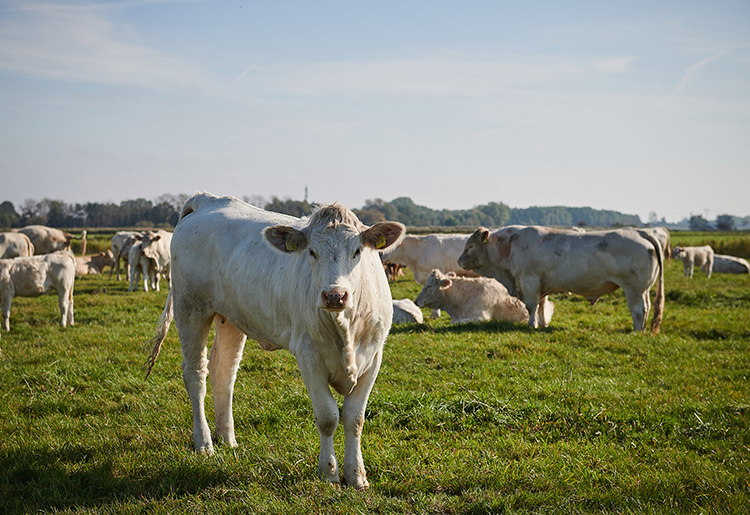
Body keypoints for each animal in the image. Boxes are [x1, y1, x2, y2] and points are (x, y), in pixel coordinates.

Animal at [458, 227, 664, 332]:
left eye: (470, 246)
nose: (459, 261)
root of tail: (638, 231)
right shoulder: (540, 284)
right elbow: (541, 306)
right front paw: (542, 324)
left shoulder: (529, 281)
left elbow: (531, 306)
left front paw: (531, 324)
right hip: (643, 290)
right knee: (646, 308)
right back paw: (642, 330)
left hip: (634, 289)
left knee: (638, 310)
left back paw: (636, 331)